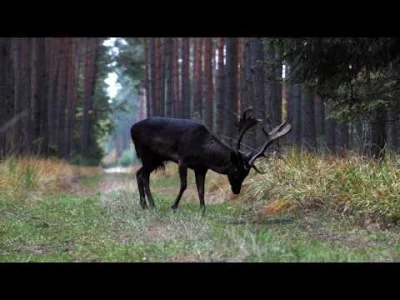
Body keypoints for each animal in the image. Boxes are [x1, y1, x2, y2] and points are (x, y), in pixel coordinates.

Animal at [131, 108, 290, 216]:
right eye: (236, 170)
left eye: (246, 174)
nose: (236, 190)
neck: (204, 152)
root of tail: (132, 129)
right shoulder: (183, 160)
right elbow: (184, 185)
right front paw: (174, 206)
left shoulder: (201, 168)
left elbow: (201, 190)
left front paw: (202, 211)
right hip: (147, 155)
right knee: (144, 176)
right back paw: (152, 205)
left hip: (155, 159)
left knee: (139, 173)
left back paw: (144, 205)